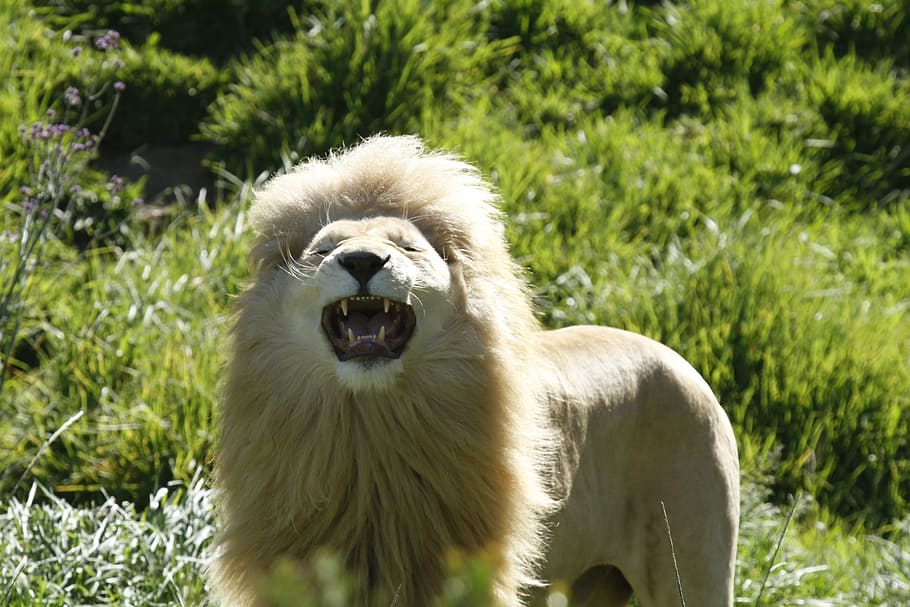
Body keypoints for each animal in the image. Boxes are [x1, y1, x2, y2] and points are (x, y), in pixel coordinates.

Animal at [211, 135, 740, 607]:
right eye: (322, 251)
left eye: (408, 249)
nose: (362, 260)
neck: (370, 432)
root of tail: (677, 359)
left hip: (690, 566)